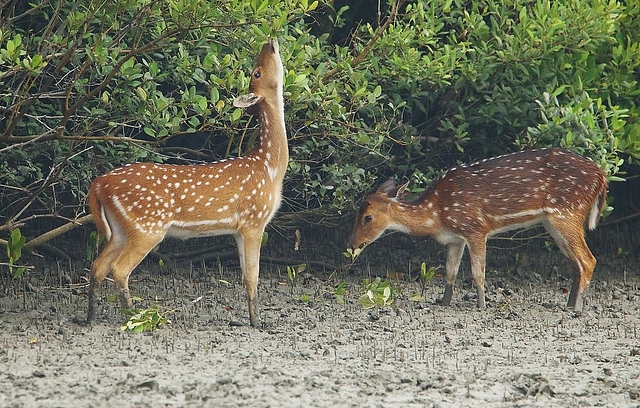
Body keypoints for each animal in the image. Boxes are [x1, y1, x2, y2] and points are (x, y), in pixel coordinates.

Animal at [86, 36, 286, 326]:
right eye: (256, 72)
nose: (270, 41)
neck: (269, 167)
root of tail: (98, 184)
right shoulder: (254, 219)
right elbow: (253, 276)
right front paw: (257, 323)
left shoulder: (239, 228)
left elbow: (245, 276)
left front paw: (252, 319)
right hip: (148, 225)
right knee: (119, 269)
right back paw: (134, 317)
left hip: (122, 229)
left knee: (97, 265)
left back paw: (90, 317)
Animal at [348, 148, 608, 310]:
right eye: (356, 214)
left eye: (368, 217)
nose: (352, 245)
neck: (437, 215)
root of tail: (602, 176)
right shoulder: (455, 238)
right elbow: (450, 272)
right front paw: (444, 302)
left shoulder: (475, 227)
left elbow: (477, 272)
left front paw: (481, 305)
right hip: (552, 221)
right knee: (576, 262)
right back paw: (569, 303)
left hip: (567, 212)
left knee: (588, 260)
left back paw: (577, 308)